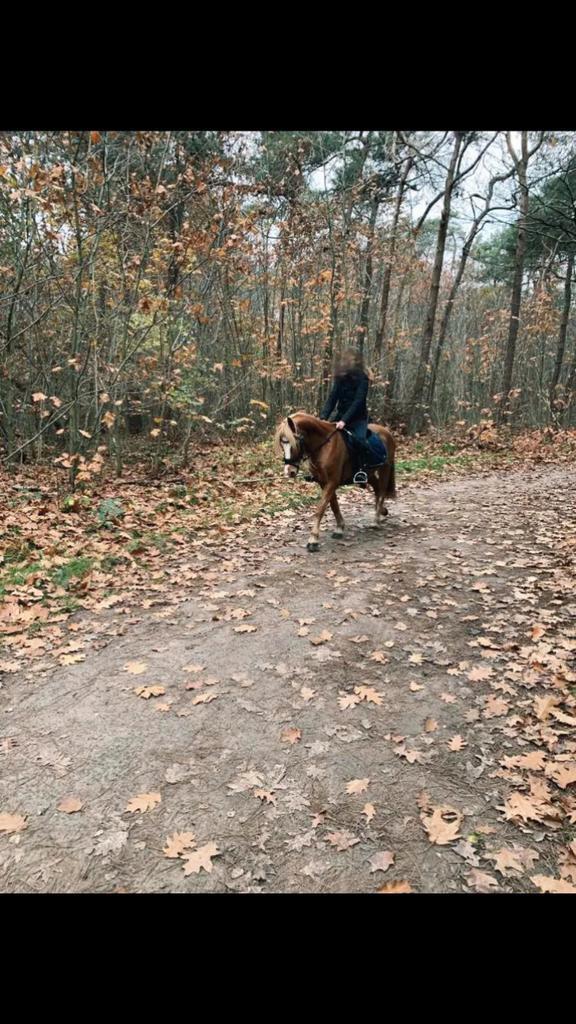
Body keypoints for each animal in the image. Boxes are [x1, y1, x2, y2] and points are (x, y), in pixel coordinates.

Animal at [275, 413, 396, 552]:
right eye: (282, 444)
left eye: (296, 442)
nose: (289, 471)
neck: (324, 446)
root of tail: (387, 432)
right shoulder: (324, 482)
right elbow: (333, 505)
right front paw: (339, 528)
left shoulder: (332, 482)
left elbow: (321, 508)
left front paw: (313, 540)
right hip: (369, 473)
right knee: (377, 488)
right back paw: (381, 511)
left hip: (385, 468)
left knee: (382, 491)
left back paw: (376, 520)